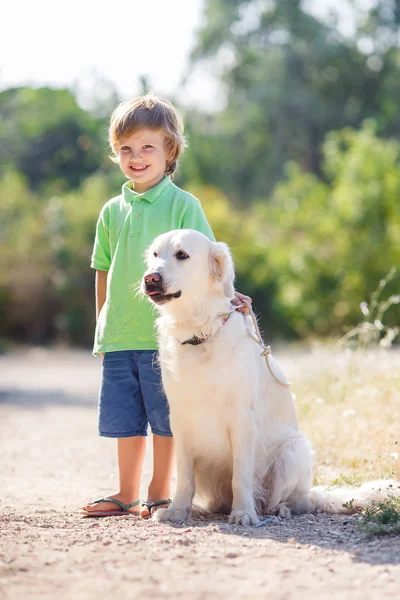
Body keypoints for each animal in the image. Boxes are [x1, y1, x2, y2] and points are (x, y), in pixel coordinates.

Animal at [142, 230, 398, 524]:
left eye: (182, 255)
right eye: (155, 255)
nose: (150, 278)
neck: (200, 333)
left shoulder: (242, 417)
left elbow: (241, 475)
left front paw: (243, 513)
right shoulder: (180, 418)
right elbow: (184, 475)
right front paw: (177, 510)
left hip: (294, 450)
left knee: (295, 501)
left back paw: (280, 509)